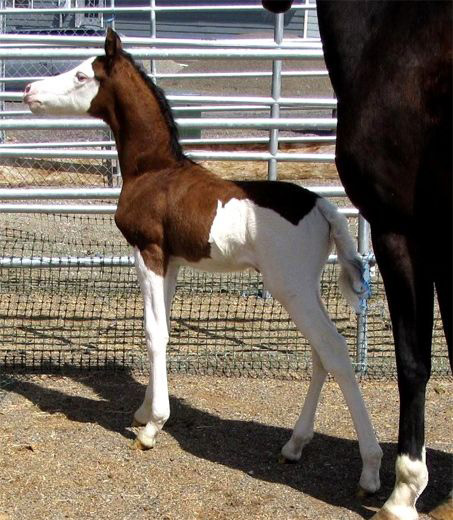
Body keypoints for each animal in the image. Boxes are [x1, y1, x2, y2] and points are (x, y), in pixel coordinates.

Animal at [23, 30, 380, 494]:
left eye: (83, 74)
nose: (29, 91)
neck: (154, 169)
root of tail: (322, 206)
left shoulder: (148, 252)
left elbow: (154, 332)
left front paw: (152, 427)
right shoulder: (172, 261)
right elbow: (161, 327)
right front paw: (144, 410)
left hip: (291, 288)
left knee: (334, 351)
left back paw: (371, 470)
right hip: (306, 288)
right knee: (322, 354)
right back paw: (294, 446)